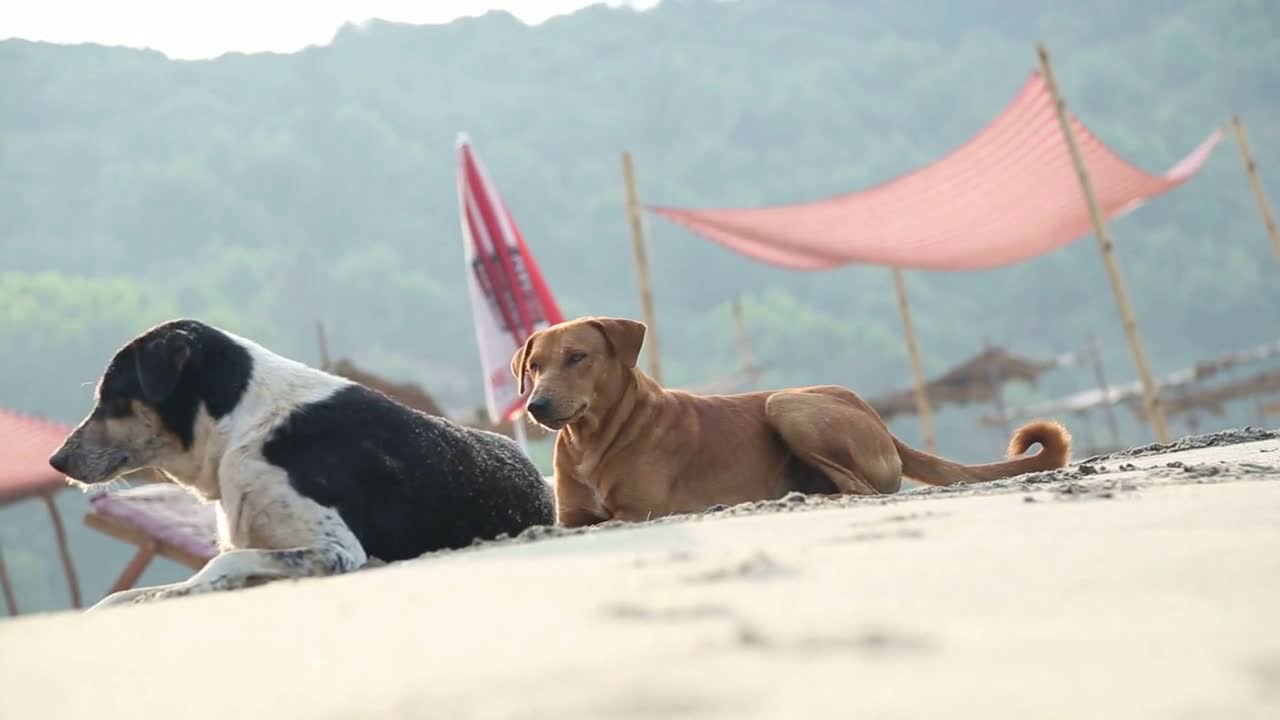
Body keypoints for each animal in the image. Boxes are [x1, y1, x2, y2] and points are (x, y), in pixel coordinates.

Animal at [47, 317, 558, 604]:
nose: (56, 460)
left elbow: (220, 564)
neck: (240, 426)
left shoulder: (337, 550)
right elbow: (118, 598)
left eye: (112, 398)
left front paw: (180, 590)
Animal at [509, 316, 1070, 525]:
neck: (592, 439)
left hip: (786, 405)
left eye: (578, 358)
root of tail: (878, 420)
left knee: (863, 489)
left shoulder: (639, 512)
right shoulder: (571, 516)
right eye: (533, 366)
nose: (536, 406)